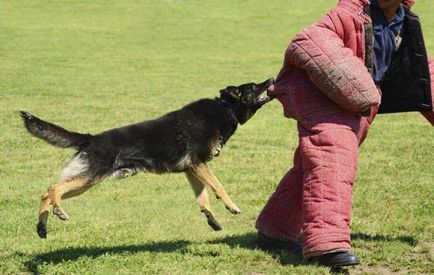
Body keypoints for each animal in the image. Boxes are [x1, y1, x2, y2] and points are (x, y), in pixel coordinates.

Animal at [20, 78, 274, 239]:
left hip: (84, 183)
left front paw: (212, 220)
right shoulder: (199, 164)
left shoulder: (192, 169)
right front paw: (232, 206)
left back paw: (42, 228)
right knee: (53, 189)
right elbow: (218, 187)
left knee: (45, 192)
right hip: (88, 178)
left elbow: (203, 198)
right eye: (253, 86)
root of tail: (91, 139)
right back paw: (59, 211)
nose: (272, 78)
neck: (225, 109)